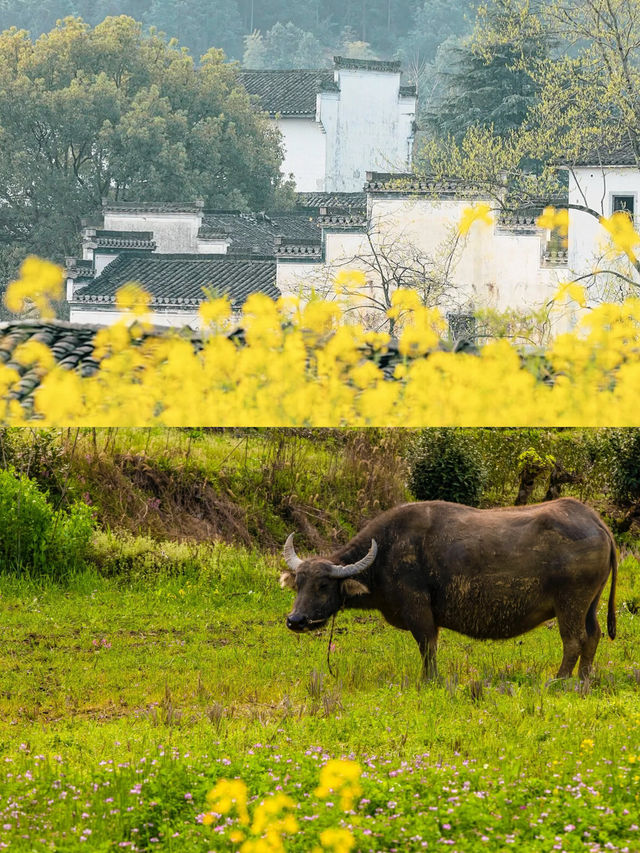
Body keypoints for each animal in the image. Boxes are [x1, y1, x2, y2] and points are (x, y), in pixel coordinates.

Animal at [278, 496, 616, 684]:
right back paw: (584, 679)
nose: (295, 621)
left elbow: (427, 646)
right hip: (591, 603)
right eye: (299, 584)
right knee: (593, 636)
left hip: (570, 603)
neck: (386, 551)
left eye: (323, 585)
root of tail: (596, 522)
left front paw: (429, 680)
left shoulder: (418, 609)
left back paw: (558, 680)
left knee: (574, 640)